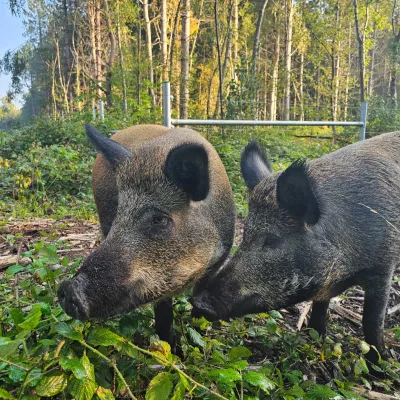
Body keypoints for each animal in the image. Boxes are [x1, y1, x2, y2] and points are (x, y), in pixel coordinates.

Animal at [57, 123, 236, 346]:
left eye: (158, 219)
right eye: (120, 213)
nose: (67, 287)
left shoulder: (219, 259)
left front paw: (198, 335)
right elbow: (164, 316)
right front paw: (171, 350)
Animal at [192, 132, 398, 366]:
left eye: (272, 240)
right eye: (245, 236)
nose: (198, 302)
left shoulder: (383, 267)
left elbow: (372, 322)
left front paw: (380, 364)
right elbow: (320, 307)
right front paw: (314, 337)